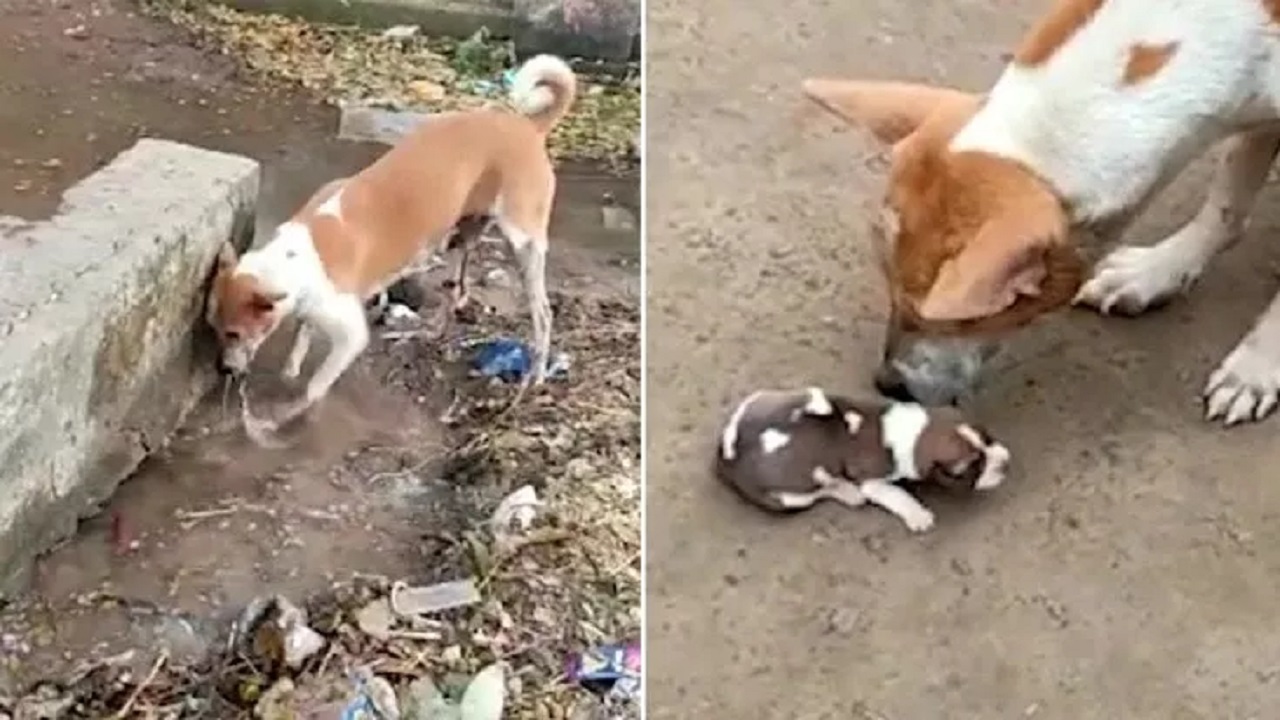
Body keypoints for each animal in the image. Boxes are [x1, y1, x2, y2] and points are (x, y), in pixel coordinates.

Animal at [204, 54, 576, 438]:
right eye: (212, 327)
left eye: (233, 333)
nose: (223, 370)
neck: (296, 257)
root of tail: (528, 127)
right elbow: (301, 339)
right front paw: (290, 370)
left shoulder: (350, 335)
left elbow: (314, 387)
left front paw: (284, 416)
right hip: (462, 236)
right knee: (457, 291)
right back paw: (434, 333)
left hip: (524, 245)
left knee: (543, 314)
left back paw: (535, 378)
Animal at [716, 386, 1003, 532]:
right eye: (970, 468)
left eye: (988, 437)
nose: (1005, 464)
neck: (913, 429)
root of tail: (725, 459)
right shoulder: (871, 481)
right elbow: (896, 494)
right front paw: (918, 514)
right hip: (792, 497)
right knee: (821, 491)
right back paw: (847, 492)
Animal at [798, 0, 1280, 425]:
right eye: (888, 286)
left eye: (970, 317)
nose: (887, 385)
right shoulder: (1258, 116)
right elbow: (1229, 200)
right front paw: (1156, 272)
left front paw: (1255, 370)